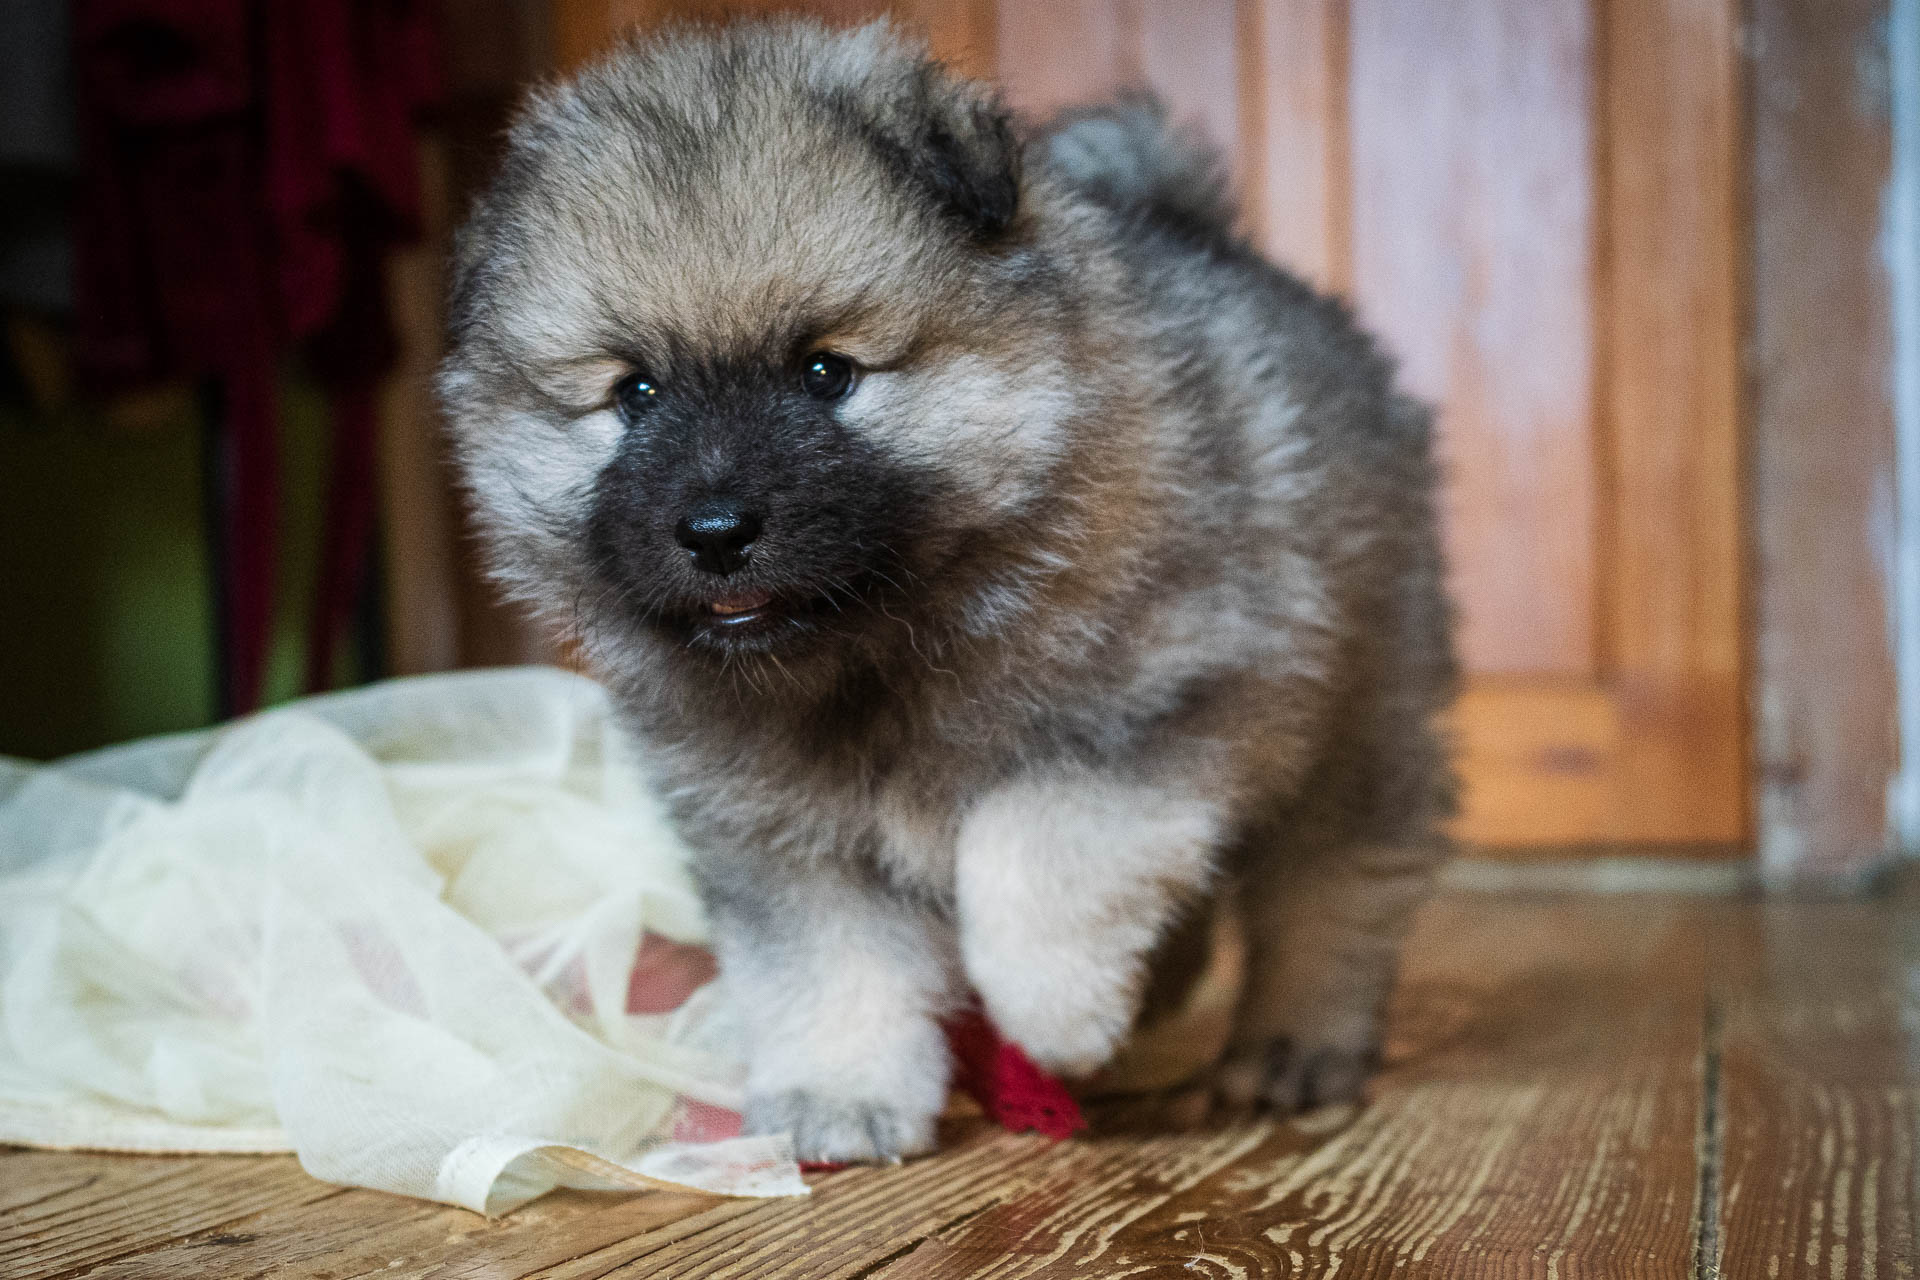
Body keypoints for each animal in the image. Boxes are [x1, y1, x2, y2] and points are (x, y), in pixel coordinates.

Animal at [439, 17, 1451, 1159]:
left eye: (826, 372)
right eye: (635, 393)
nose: (714, 531)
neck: (879, 638)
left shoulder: (1165, 703)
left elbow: (1032, 848)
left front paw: (1057, 1008)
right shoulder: (782, 828)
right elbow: (827, 962)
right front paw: (839, 1091)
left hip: (1358, 710)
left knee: (1334, 888)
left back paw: (1294, 1046)